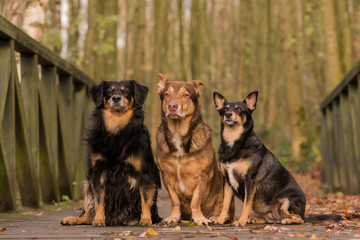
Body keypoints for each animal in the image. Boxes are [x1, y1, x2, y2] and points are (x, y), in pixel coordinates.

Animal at [60, 79, 160, 226]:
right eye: (109, 91)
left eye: (126, 91)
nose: (116, 98)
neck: (116, 126)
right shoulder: (97, 173)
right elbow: (98, 201)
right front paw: (99, 220)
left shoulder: (145, 173)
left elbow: (146, 199)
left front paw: (146, 219)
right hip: (87, 184)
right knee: (88, 214)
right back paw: (75, 219)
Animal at [156, 71, 235, 227]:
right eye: (167, 94)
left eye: (185, 95)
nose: (172, 106)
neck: (178, 134)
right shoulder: (166, 177)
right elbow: (174, 200)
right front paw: (173, 217)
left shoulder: (201, 177)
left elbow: (195, 201)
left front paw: (199, 218)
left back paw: (215, 217)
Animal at [212, 91, 342, 226]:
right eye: (224, 109)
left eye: (239, 110)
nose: (228, 114)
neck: (234, 141)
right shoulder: (227, 180)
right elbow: (225, 204)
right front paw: (220, 219)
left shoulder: (250, 180)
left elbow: (246, 205)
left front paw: (241, 221)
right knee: (272, 219)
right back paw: (255, 219)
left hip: (288, 201)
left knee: (299, 219)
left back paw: (287, 220)